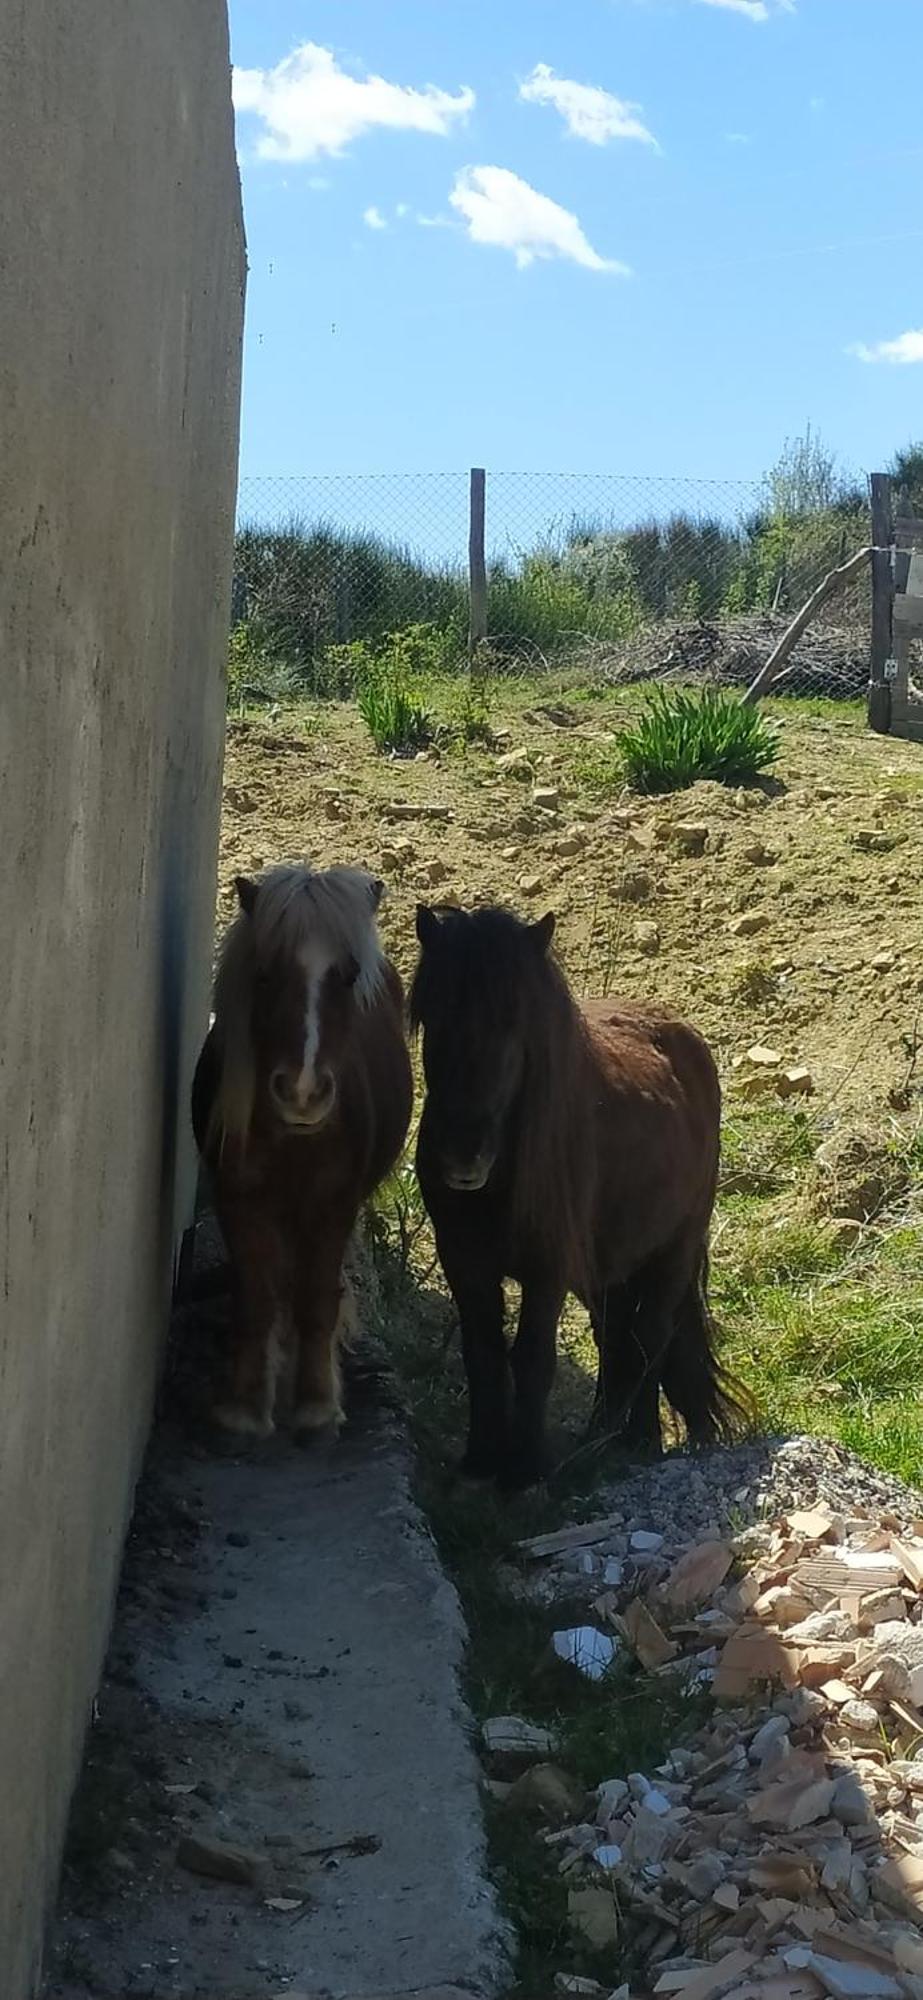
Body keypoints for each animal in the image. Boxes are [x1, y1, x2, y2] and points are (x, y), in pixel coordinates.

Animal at [192, 860, 413, 1440]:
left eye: (349, 975)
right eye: (265, 973)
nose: (302, 1092)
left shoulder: (332, 1206)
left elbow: (316, 1300)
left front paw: (316, 1404)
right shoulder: (239, 1203)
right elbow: (256, 1302)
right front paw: (244, 1407)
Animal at [411, 908, 751, 1488]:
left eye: (515, 1023)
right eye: (434, 1017)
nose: (461, 1158)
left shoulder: (548, 1268)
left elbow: (533, 1357)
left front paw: (526, 1470)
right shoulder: (465, 1260)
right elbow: (483, 1354)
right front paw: (481, 1461)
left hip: (675, 1247)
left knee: (649, 1335)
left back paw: (629, 1441)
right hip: (609, 1265)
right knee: (615, 1336)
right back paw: (608, 1437)